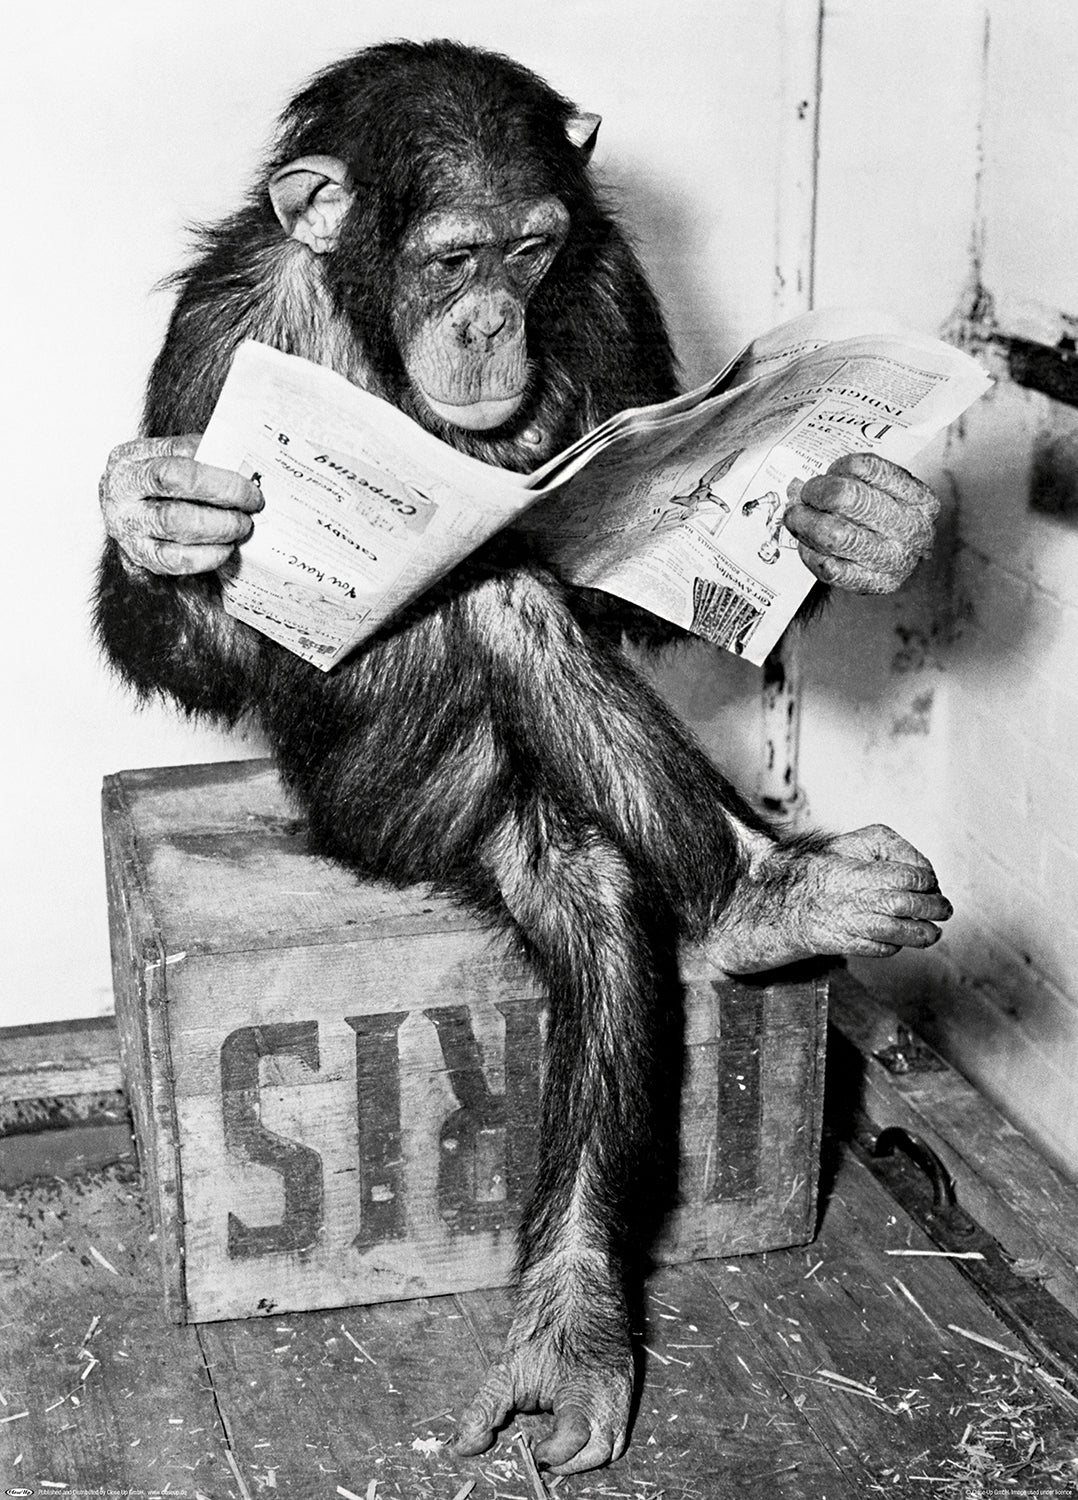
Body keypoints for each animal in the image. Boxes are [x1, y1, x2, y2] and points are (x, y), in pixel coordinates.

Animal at [95, 40, 951, 1475]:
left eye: (532, 250)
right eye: (452, 259)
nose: (493, 320)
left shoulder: (607, 286)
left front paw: (860, 519)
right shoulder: (220, 333)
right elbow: (192, 639)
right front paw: (158, 513)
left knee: (592, 872)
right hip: (391, 805)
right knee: (495, 617)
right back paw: (760, 900)